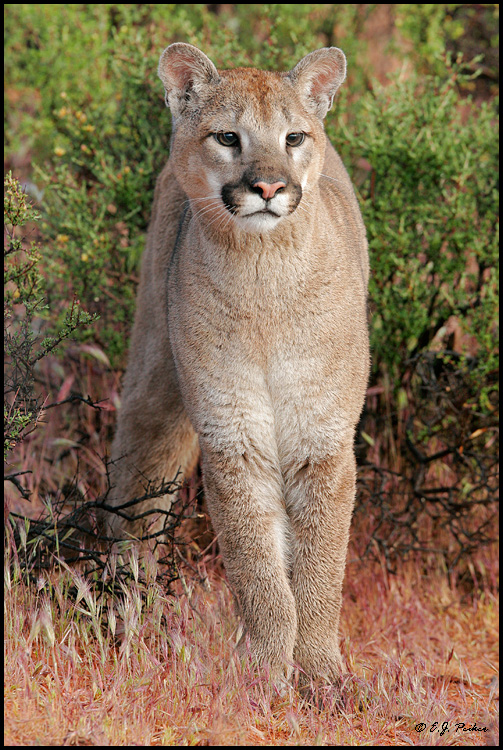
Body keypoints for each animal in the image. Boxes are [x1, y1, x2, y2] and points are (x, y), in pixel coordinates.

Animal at [106, 41, 372, 688]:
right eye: (228, 137)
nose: (270, 187)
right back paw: (123, 619)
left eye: (294, 137)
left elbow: (319, 569)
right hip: (155, 383)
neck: (264, 274)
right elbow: (258, 573)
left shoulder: (321, 440)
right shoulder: (235, 436)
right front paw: (270, 676)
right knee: (135, 501)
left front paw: (320, 674)